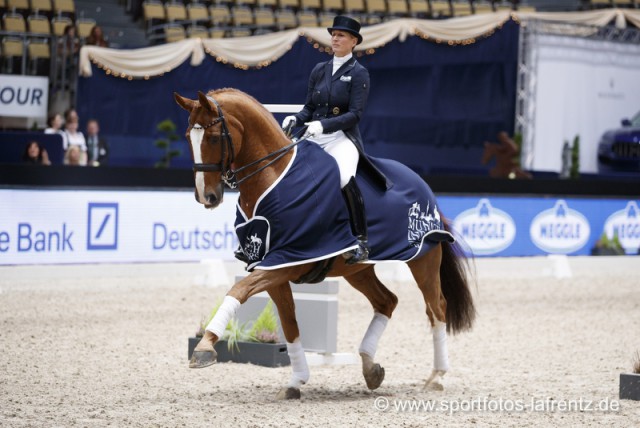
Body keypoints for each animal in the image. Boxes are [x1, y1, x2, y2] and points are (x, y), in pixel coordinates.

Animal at [175, 88, 476, 402]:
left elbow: (238, 291)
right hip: (357, 270)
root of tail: (422, 183)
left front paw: (205, 346)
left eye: (213, 138)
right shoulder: (272, 266)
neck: (273, 176)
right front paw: (296, 380)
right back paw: (370, 368)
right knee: (387, 301)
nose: (206, 196)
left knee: (436, 308)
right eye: (188, 136)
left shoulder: (286, 261)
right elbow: (289, 324)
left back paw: (437, 376)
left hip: (423, 258)